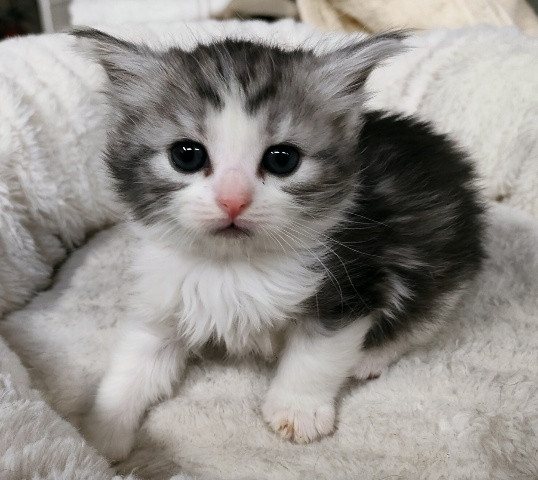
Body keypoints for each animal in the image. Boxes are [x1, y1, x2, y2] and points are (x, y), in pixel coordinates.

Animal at [73, 28, 485, 461]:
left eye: (282, 159)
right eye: (186, 156)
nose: (233, 200)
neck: (231, 265)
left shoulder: (352, 284)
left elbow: (316, 355)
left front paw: (297, 410)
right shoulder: (164, 295)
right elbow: (135, 361)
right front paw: (99, 433)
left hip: (444, 257)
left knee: (425, 316)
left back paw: (371, 356)